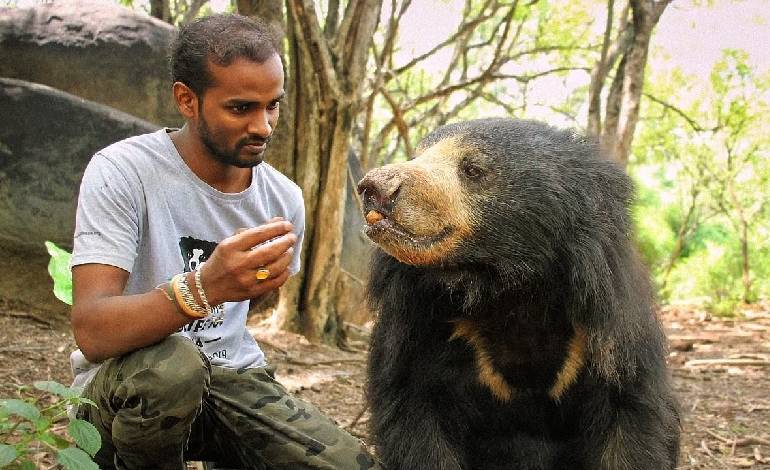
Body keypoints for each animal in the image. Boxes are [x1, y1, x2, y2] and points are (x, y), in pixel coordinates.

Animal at [357, 118, 680, 470]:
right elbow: (415, 414)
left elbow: (629, 422)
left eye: (472, 169)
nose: (373, 188)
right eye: (417, 156)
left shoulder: (611, 331)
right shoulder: (417, 328)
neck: (508, 287)